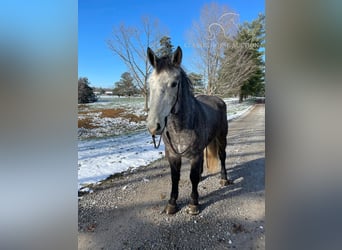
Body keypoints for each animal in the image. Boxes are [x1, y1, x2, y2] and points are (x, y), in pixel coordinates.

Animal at [147, 45, 232, 215]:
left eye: (174, 83)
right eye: (150, 83)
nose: (154, 126)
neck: (180, 129)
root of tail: (218, 99)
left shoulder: (195, 155)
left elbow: (192, 177)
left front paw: (194, 203)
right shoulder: (173, 155)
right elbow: (175, 177)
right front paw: (172, 204)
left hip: (221, 138)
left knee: (222, 156)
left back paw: (224, 179)